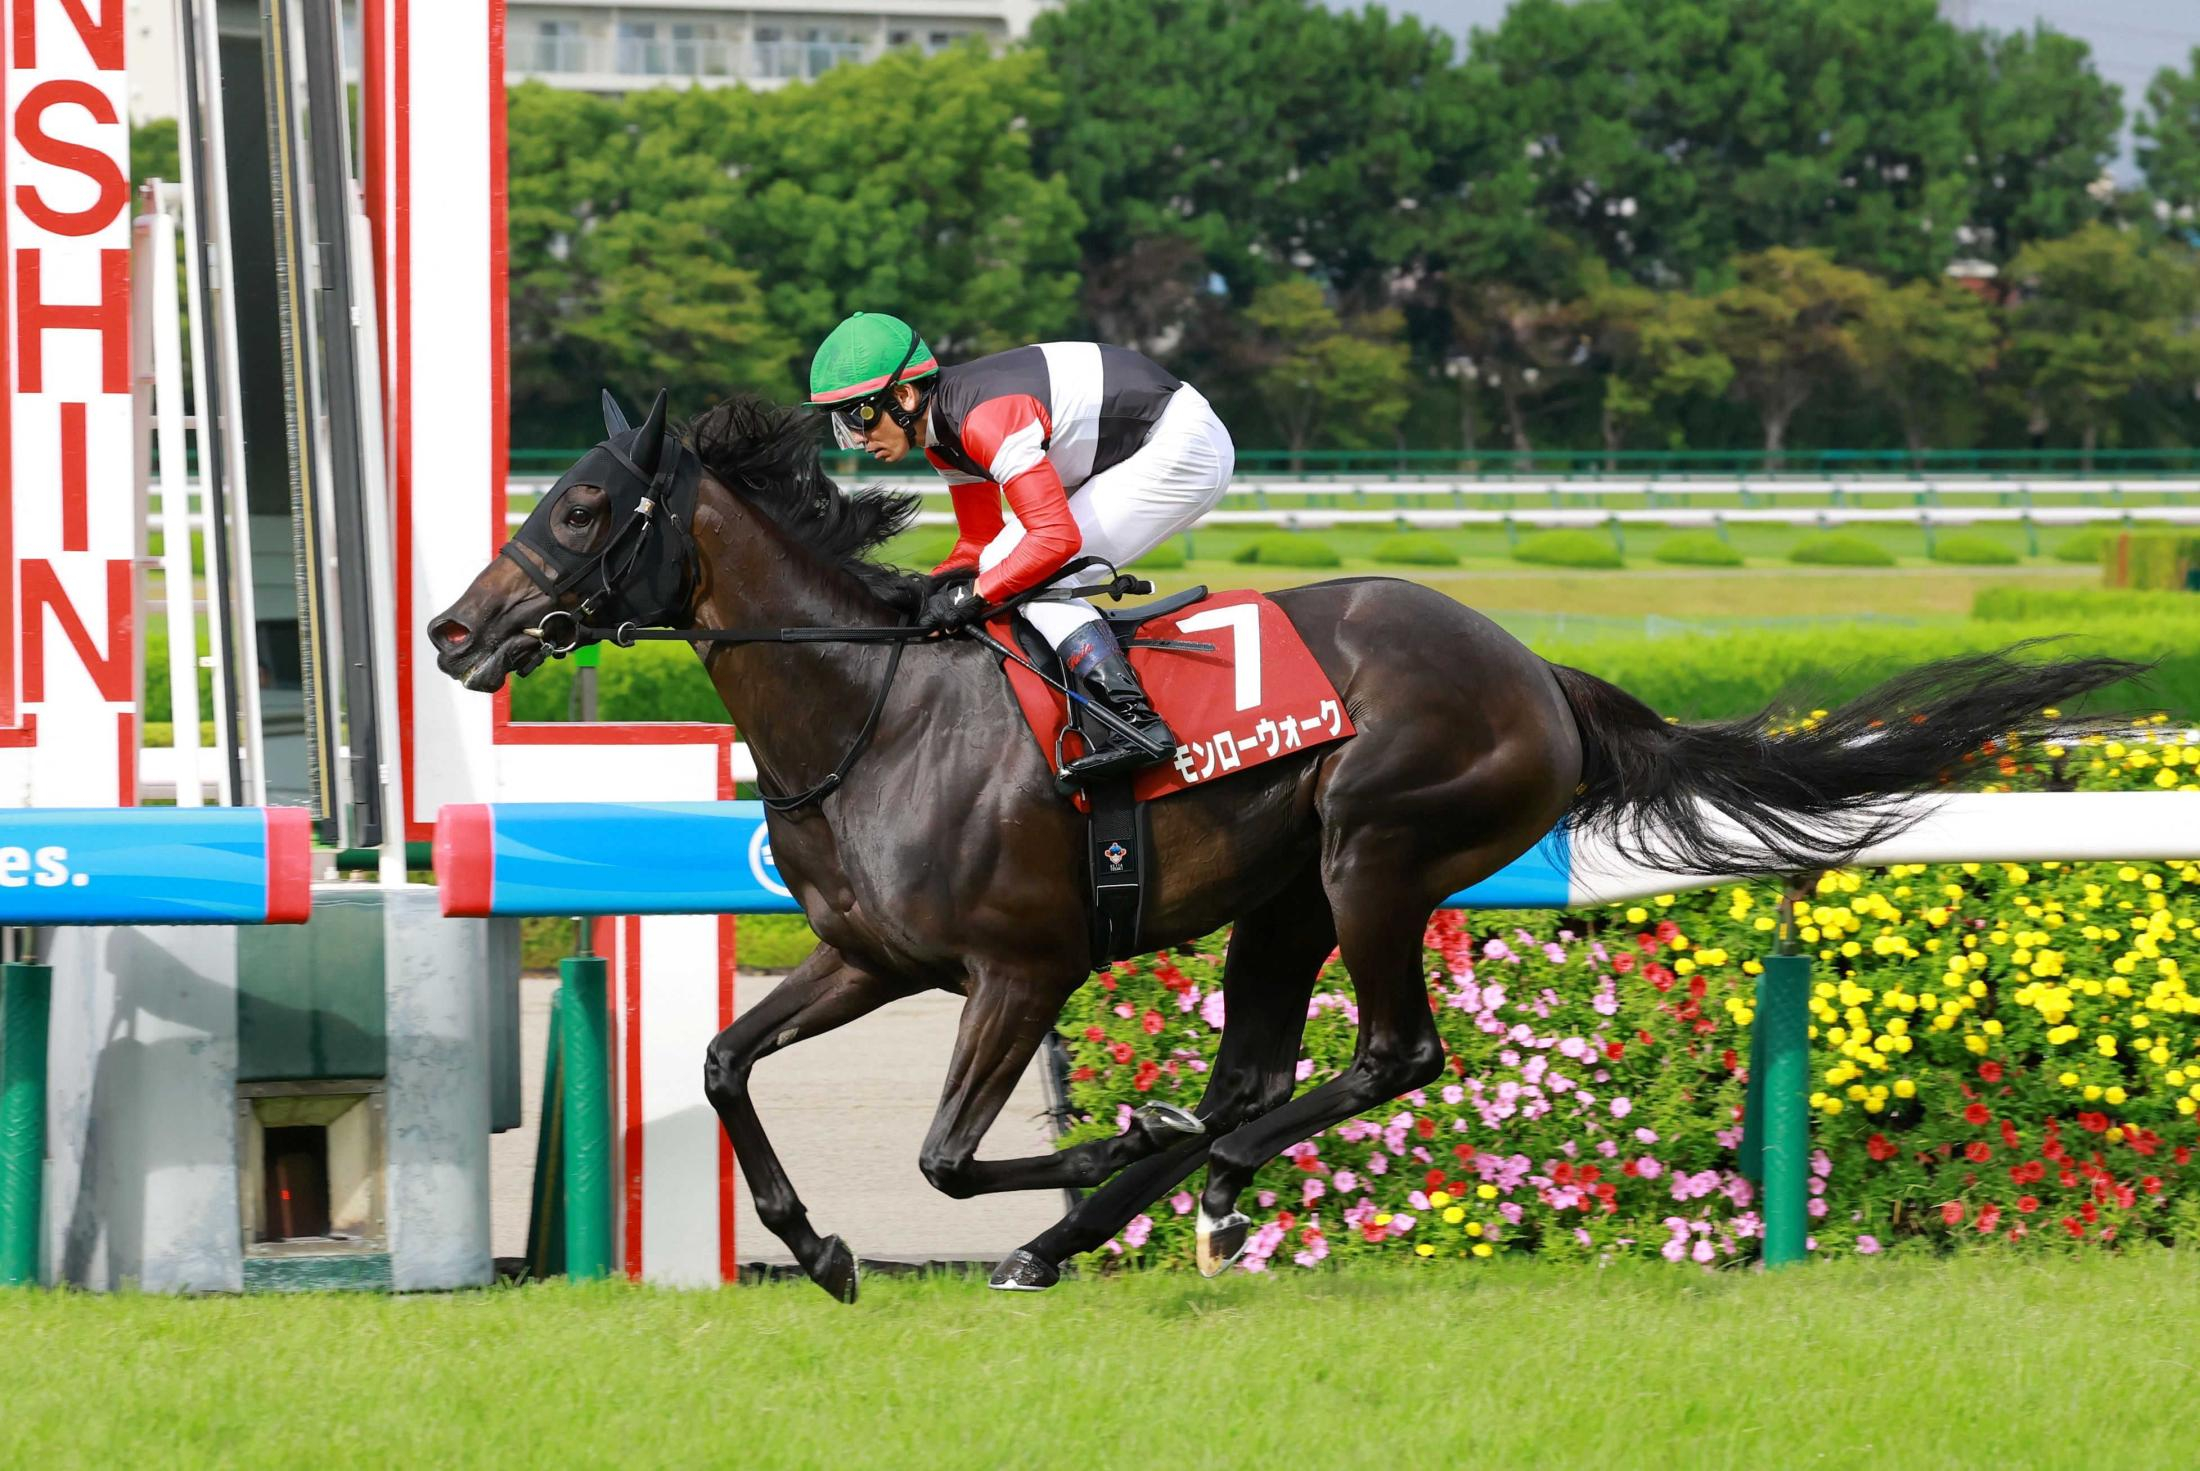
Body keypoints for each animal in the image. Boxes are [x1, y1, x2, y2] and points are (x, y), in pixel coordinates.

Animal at [427, 390, 2140, 1302]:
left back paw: (1183, 1171)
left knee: (1387, 1055)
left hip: (1376, 848)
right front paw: (824, 1243)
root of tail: (1538, 668)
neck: (874, 707)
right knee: (1264, 1068)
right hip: (1281, 896)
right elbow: (726, 1063)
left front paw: (1108, 1140)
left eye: (583, 507)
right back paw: (1120, 1208)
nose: (452, 628)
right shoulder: (869, 953)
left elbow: (948, 1151)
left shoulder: (1021, 967)